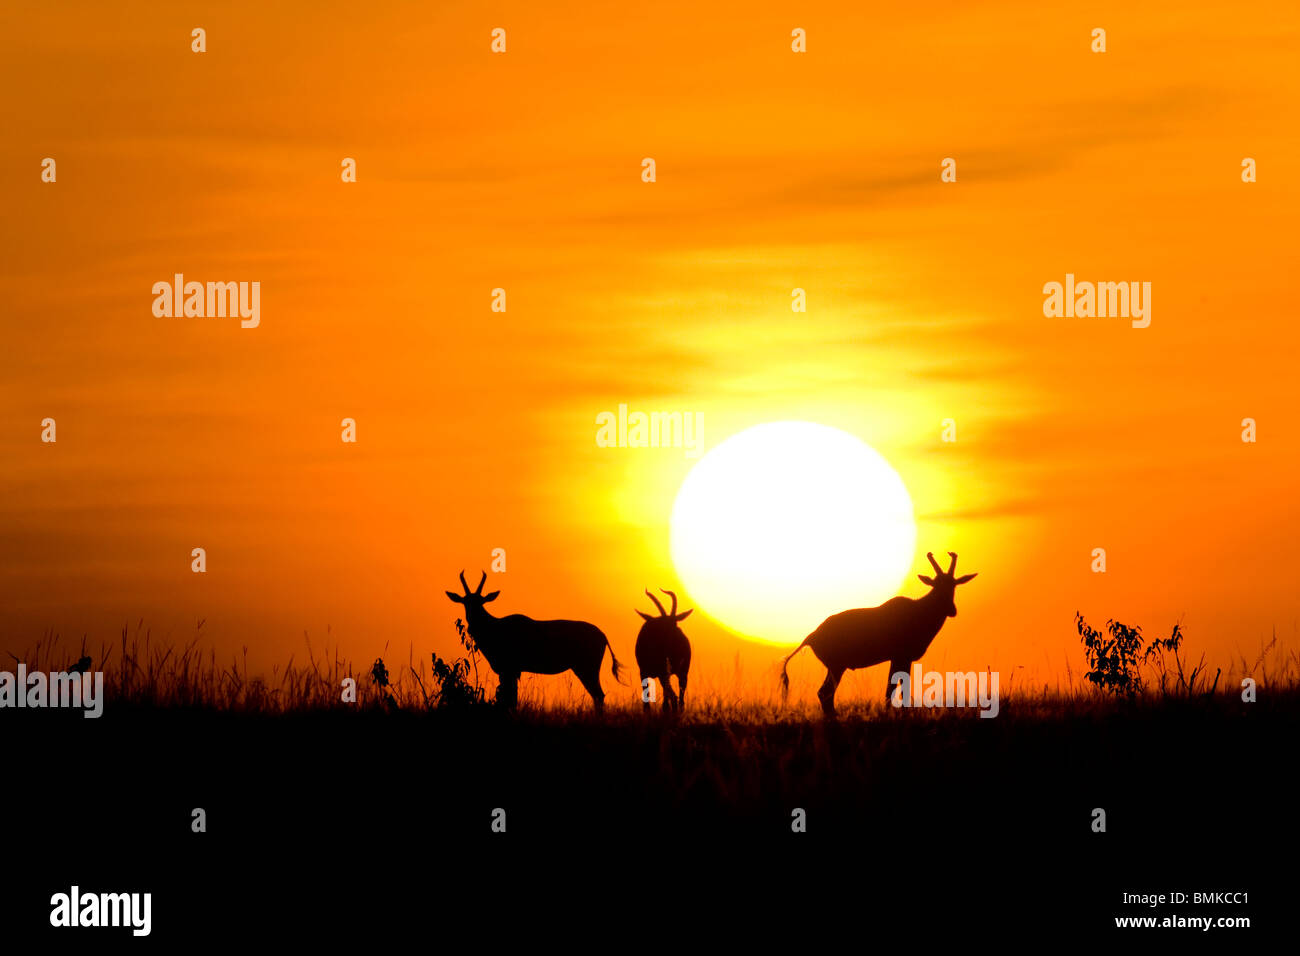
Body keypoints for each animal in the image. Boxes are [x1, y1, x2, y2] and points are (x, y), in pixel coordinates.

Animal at [444, 567, 626, 712]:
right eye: (465, 602)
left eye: (481, 602)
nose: (472, 626)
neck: (497, 625)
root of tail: (603, 635)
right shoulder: (511, 671)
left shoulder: (510, 670)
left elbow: (510, 699)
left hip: (586, 668)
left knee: (598, 695)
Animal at [780, 554, 977, 717]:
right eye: (936, 585)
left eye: (954, 585)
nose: (952, 610)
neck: (917, 610)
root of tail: (811, 636)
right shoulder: (900, 657)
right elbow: (894, 688)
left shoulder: (901, 659)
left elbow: (896, 687)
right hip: (837, 667)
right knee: (824, 693)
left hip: (835, 667)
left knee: (825, 694)